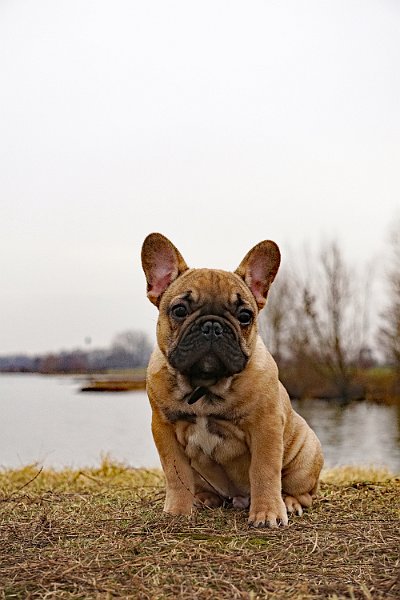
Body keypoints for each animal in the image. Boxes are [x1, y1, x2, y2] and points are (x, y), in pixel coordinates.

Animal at [141, 232, 322, 528]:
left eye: (245, 316)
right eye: (179, 310)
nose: (212, 326)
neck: (204, 385)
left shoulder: (266, 428)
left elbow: (264, 470)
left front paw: (267, 513)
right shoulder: (164, 429)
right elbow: (176, 474)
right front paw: (178, 511)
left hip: (305, 454)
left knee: (301, 491)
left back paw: (289, 502)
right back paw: (203, 499)